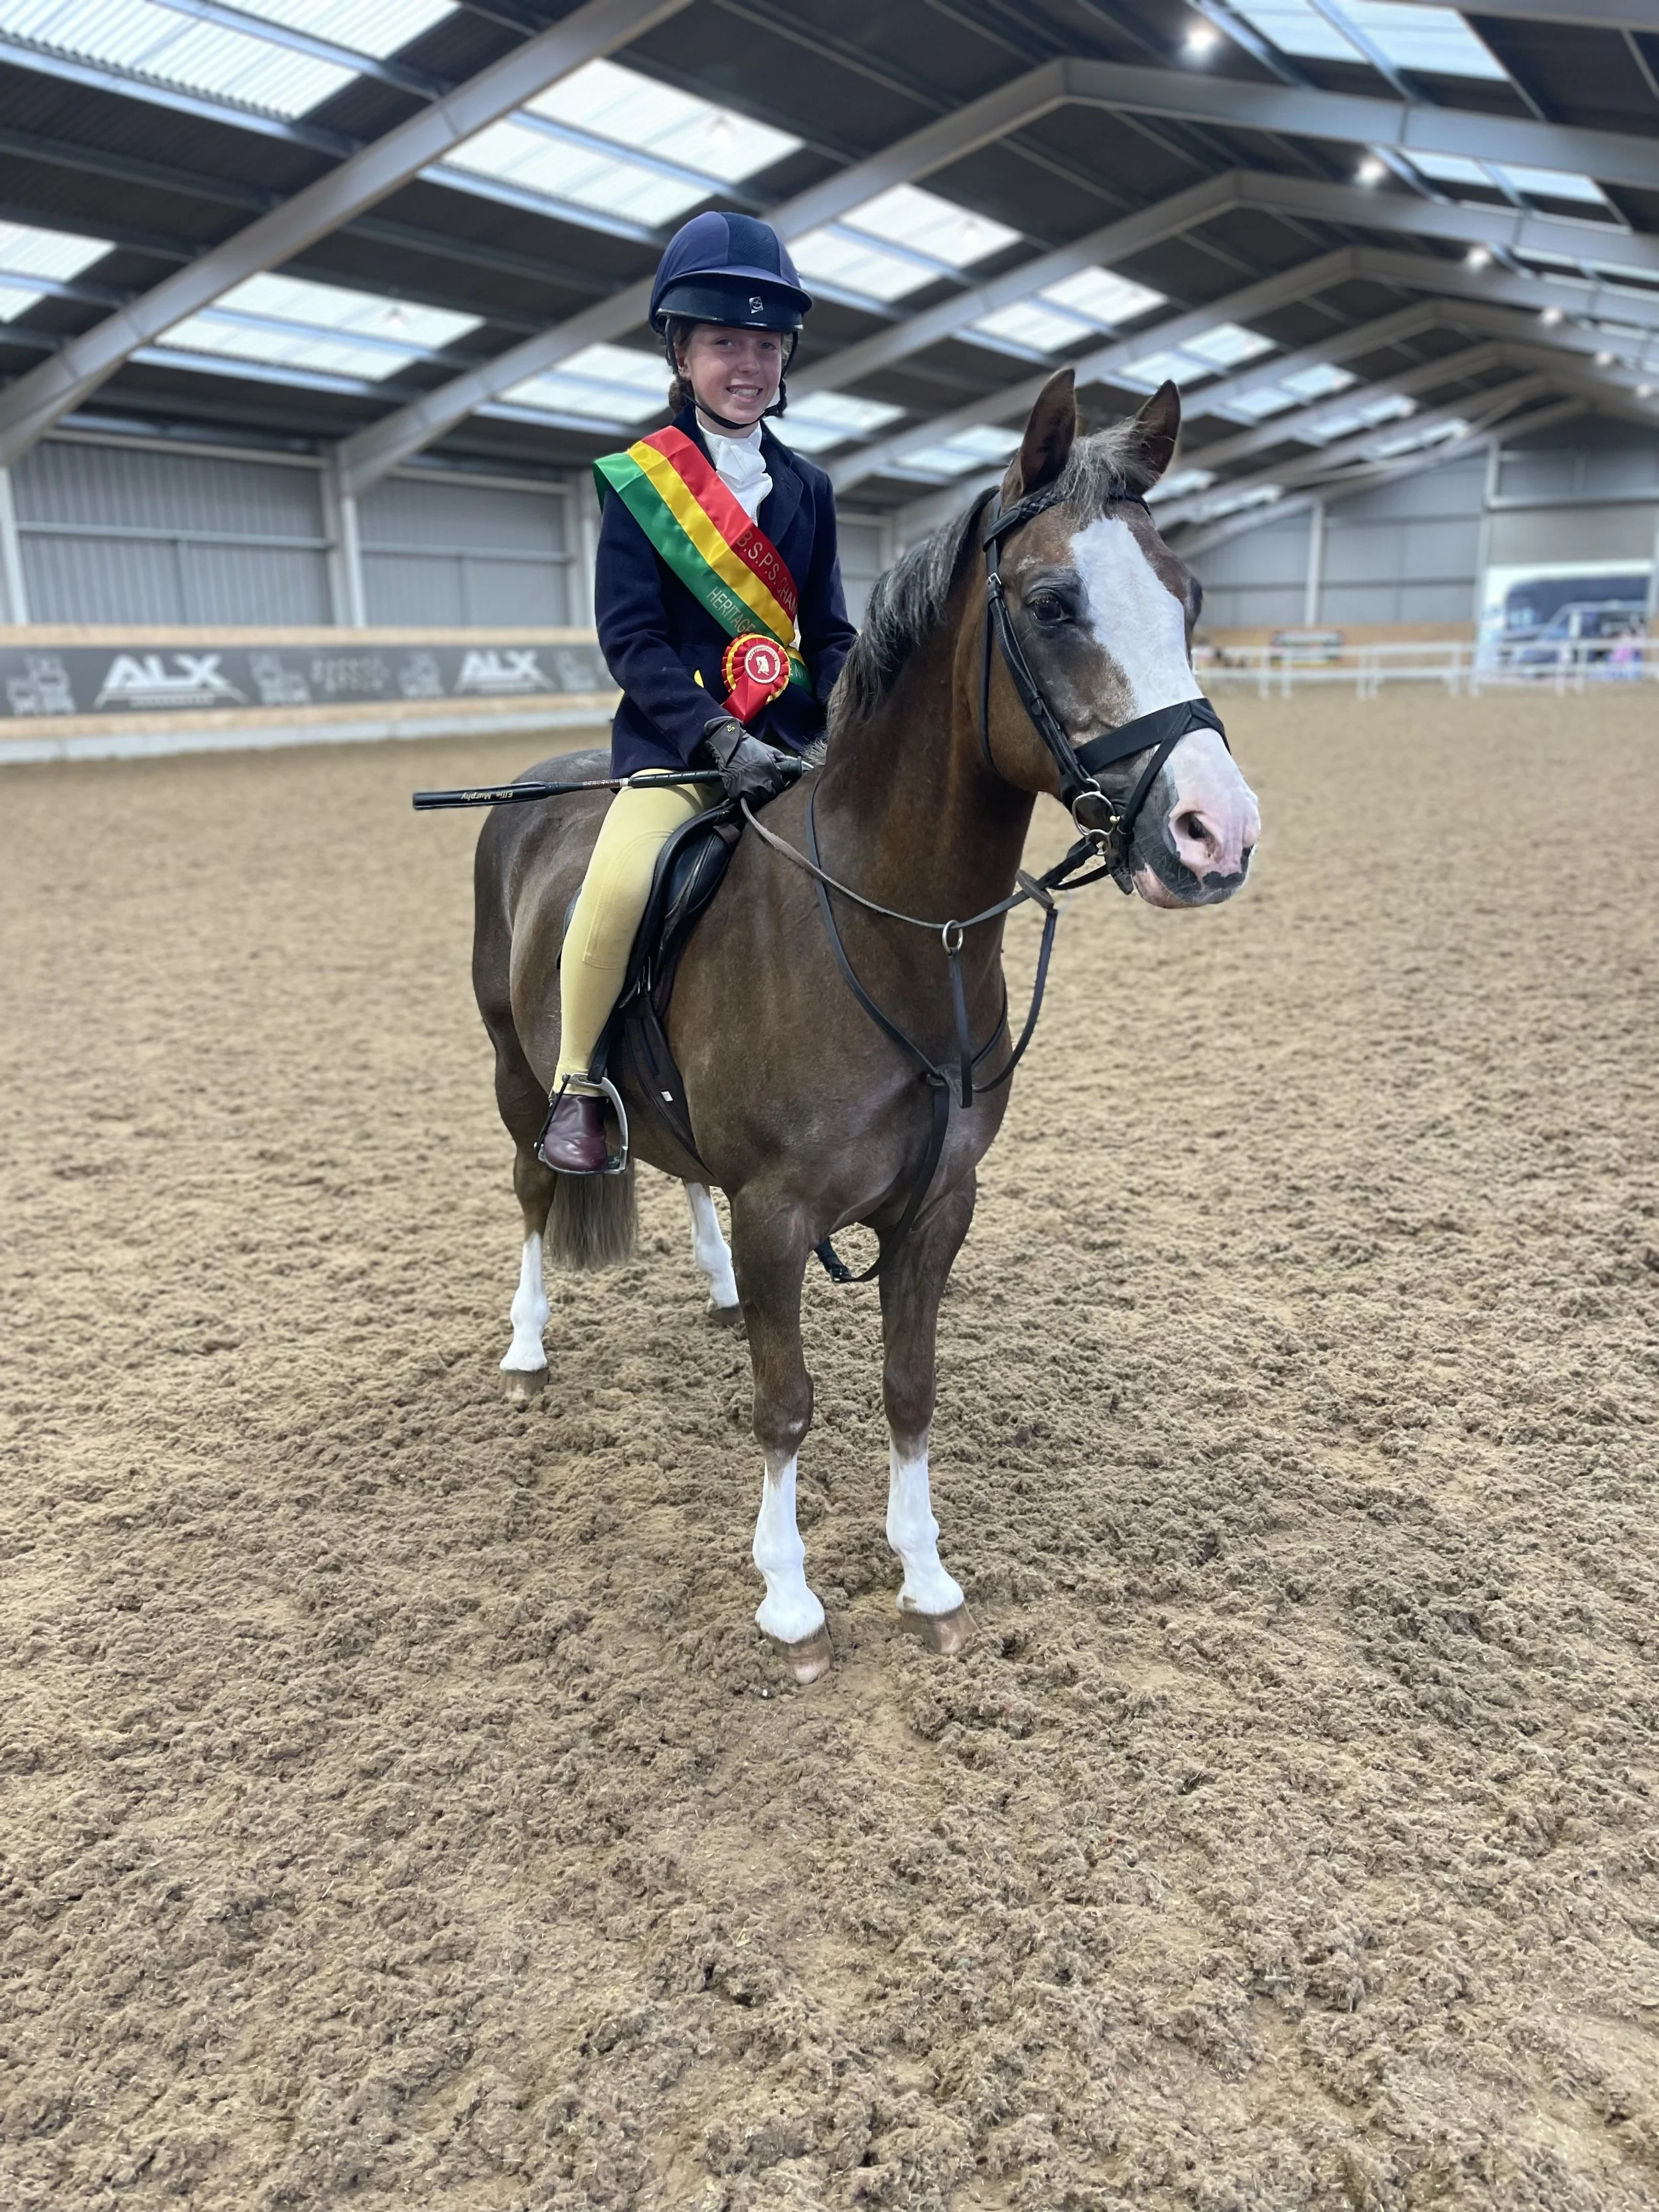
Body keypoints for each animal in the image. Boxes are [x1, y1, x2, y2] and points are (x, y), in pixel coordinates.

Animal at [470, 368, 1260, 1683]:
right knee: (538, 1187)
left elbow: (910, 1382)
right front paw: (790, 1601)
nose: (1218, 835)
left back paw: (711, 1288)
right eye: (1054, 603)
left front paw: (927, 1577)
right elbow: (786, 1403)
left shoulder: (937, 1203)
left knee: (680, 1170)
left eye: (1187, 600)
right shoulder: (781, 1213)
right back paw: (528, 1350)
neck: (895, 928)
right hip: (516, 1074)